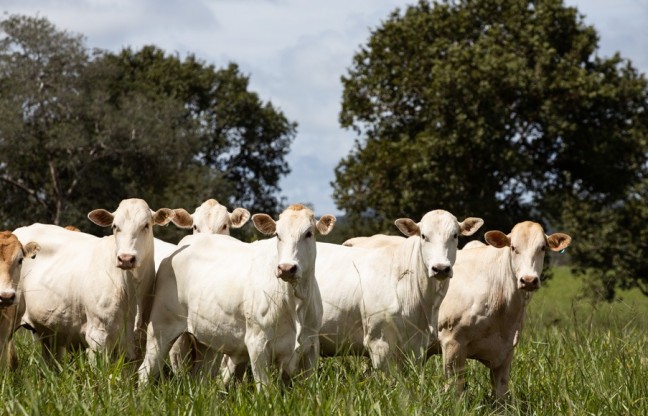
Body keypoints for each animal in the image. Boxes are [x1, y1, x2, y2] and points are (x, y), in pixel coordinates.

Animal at [436, 221, 572, 400]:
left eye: (542, 247)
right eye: (513, 247)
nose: (529, 280)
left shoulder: (506, 352)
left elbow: (500, 393)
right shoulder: (452, 342)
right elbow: (454, 390)